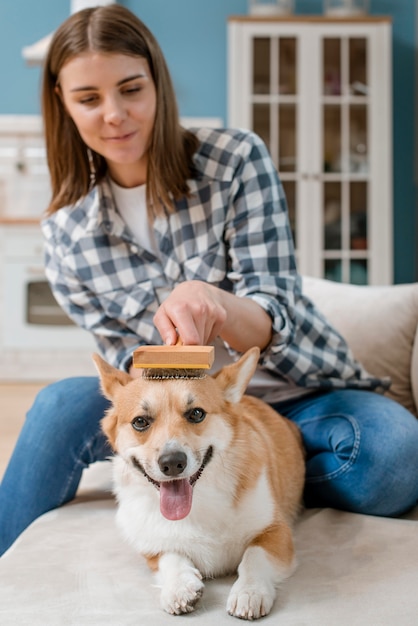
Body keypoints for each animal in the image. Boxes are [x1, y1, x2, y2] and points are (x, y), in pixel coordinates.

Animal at [94, 346, 304, 620]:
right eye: (140, 421)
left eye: (196, 414)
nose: (172, 463)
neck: (198, 504)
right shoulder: (152, 548)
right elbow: (171, 556)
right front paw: (179, 587)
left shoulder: (276, 531)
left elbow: (254, 555)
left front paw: (249, 591)